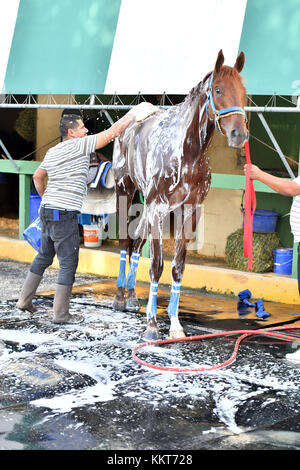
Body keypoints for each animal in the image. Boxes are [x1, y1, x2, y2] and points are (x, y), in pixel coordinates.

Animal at [111, 49, 247, 340]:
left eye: (243, 91)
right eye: (218, 89)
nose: (238, 134)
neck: (187, 152)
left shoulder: (190, 210)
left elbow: (177, 267)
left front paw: (174, 324)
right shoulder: (159, 208)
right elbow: (157, 266)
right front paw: (152, 326)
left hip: (145, 205)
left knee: (137, 243)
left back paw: (132, 296)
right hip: (125, 191)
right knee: (126, 242)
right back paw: (119, 297)